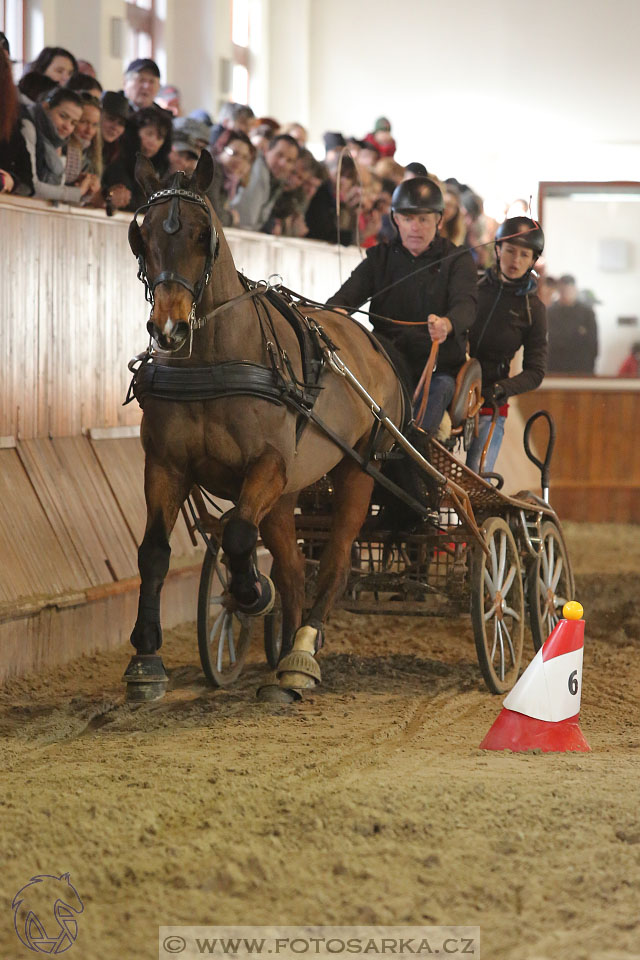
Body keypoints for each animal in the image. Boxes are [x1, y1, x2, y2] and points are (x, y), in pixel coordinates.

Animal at [124, 152, 404, 704]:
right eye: (140, 235)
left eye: (203, 234)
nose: (169, 328)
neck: (213, 362)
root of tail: (368, 341)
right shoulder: (165, 465)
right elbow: (154, 554)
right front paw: (145, 660)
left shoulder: (268, 466)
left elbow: (235, 535)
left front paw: (252, 593)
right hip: (290, 490)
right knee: (295, 571)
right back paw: (287, 655)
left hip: (357, 471)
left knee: (333, 565)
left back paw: (301, 655)